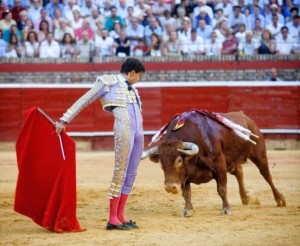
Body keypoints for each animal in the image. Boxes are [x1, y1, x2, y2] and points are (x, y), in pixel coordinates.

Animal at [142, 110, 286, 216]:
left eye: (179, 160)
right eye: (161, 162)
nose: (170, 188)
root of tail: (244, 116)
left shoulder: (219, 166)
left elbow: (222, 189)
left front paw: (226, 209)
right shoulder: (185, 176)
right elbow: (186, 193)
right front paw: (188, 210)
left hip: (258, 153)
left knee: (266, 174)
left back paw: (280, 200)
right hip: (232, 161)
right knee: (239, 172)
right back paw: (245, 198)